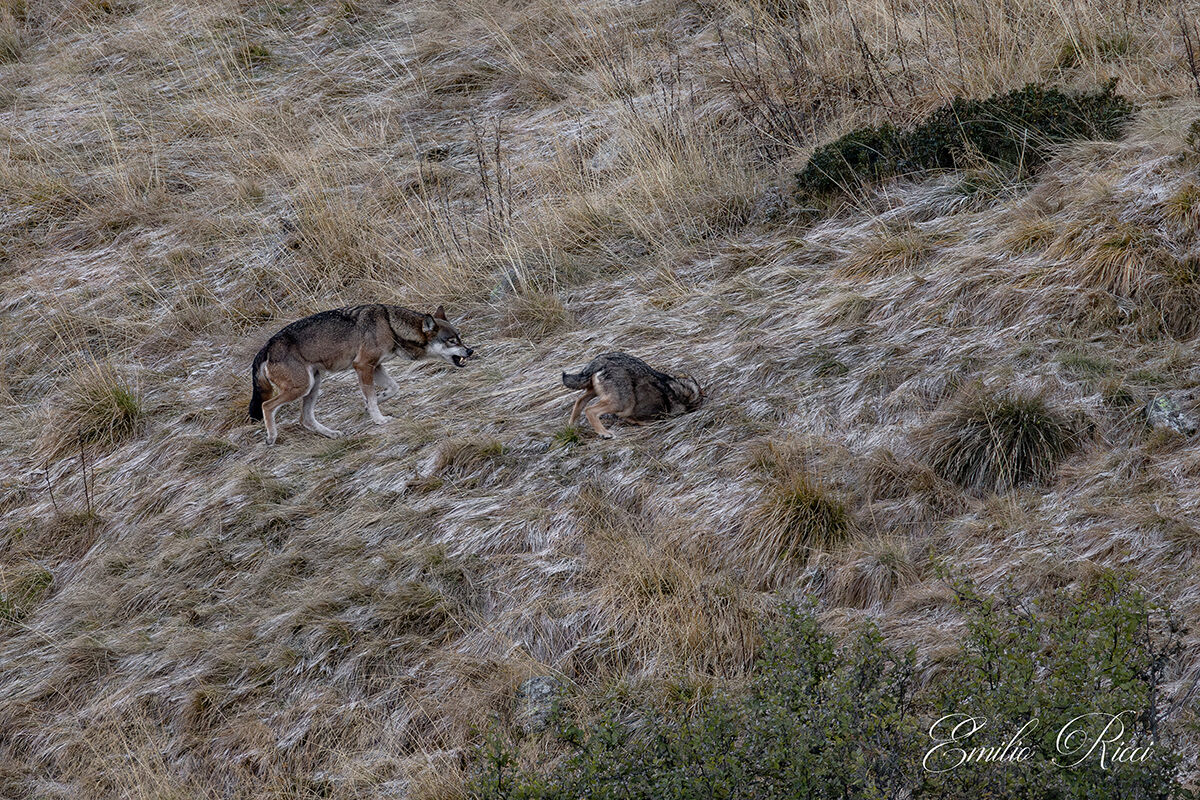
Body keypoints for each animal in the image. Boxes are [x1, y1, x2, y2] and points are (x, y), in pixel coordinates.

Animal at [248, 304, 473, 445]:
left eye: (460, 338)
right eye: (452, 341)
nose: (470, 351)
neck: (390, 325)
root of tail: (266, 348)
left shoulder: (377, 366)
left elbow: (392, 388)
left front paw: (371, 405)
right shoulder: (363, 365)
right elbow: (372, 397)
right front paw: (379, 420)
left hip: (314, 385)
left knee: (305, 419)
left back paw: (333, 434)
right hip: (302, 387)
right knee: (267, 406)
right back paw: (271, 437)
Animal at [561, 352, 703, 439]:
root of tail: (601, 359)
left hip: (596, 392)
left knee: (579, 401)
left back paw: (572, 426)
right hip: (622, 403)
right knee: (590, 410)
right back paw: (605, 433)